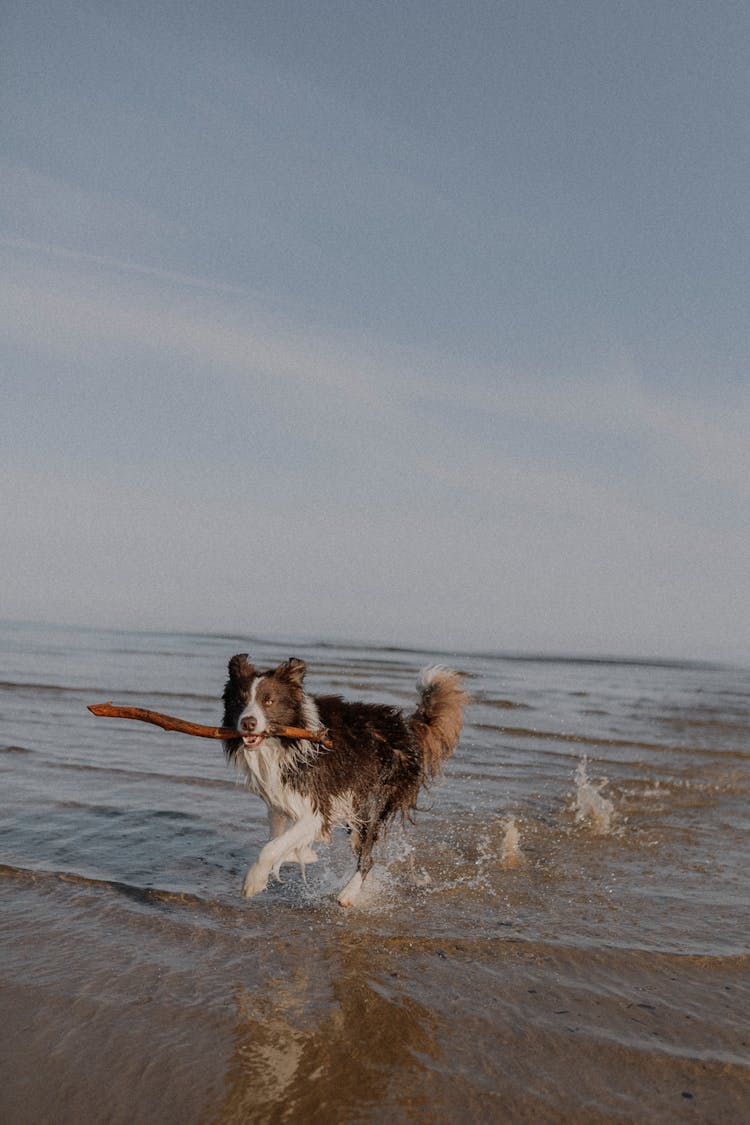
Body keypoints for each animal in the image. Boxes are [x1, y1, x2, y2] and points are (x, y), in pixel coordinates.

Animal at [221, 657, 470, 904]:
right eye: (241, 701)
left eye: (269, 701)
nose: (248, 723)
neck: (284, 743)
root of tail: (405, 726)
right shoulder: (280, 799)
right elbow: (278, 839)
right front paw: (304, 855)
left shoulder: (315, 809)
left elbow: (271, 847)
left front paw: (253, 882)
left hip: (370, 803)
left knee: (367, 858)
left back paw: (347, 894)